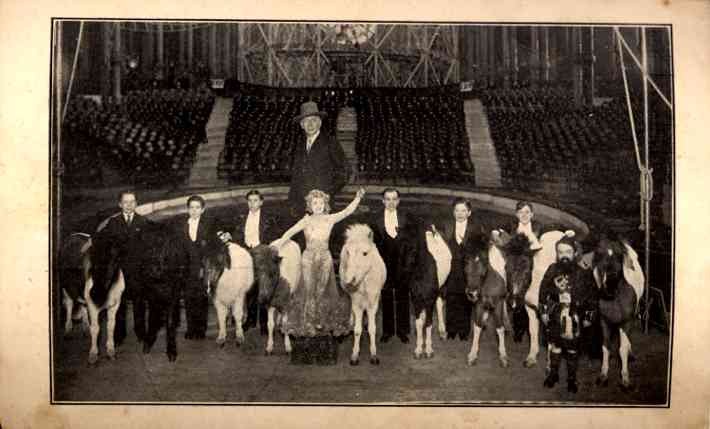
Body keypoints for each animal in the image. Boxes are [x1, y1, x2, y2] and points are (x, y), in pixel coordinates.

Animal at [340, 224, 390, 364]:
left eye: (365, 253)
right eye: (348, 252)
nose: (349, 280)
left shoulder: (373, 302)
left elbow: (372, 329)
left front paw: (373, 354)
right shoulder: (357, 302)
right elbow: (357, 330)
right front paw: (355, 355)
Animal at [404, 221, 454, 358]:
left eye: (415, 246)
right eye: (401, 244)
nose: (406, 267)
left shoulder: (430, 300)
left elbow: (428, 323)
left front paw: (429, 350)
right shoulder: (415, 299)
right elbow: (419, 322)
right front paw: (418, 349)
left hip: (443, 285)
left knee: (439, 303)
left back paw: (442, 331)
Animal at [588, 232, 644, 390]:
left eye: (619, 256)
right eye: (599, 254)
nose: (610, 285)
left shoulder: (626, 322)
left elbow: (622, 348)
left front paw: (625, 379)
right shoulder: (604, 322)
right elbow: (605, 347)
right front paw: (603, 375)